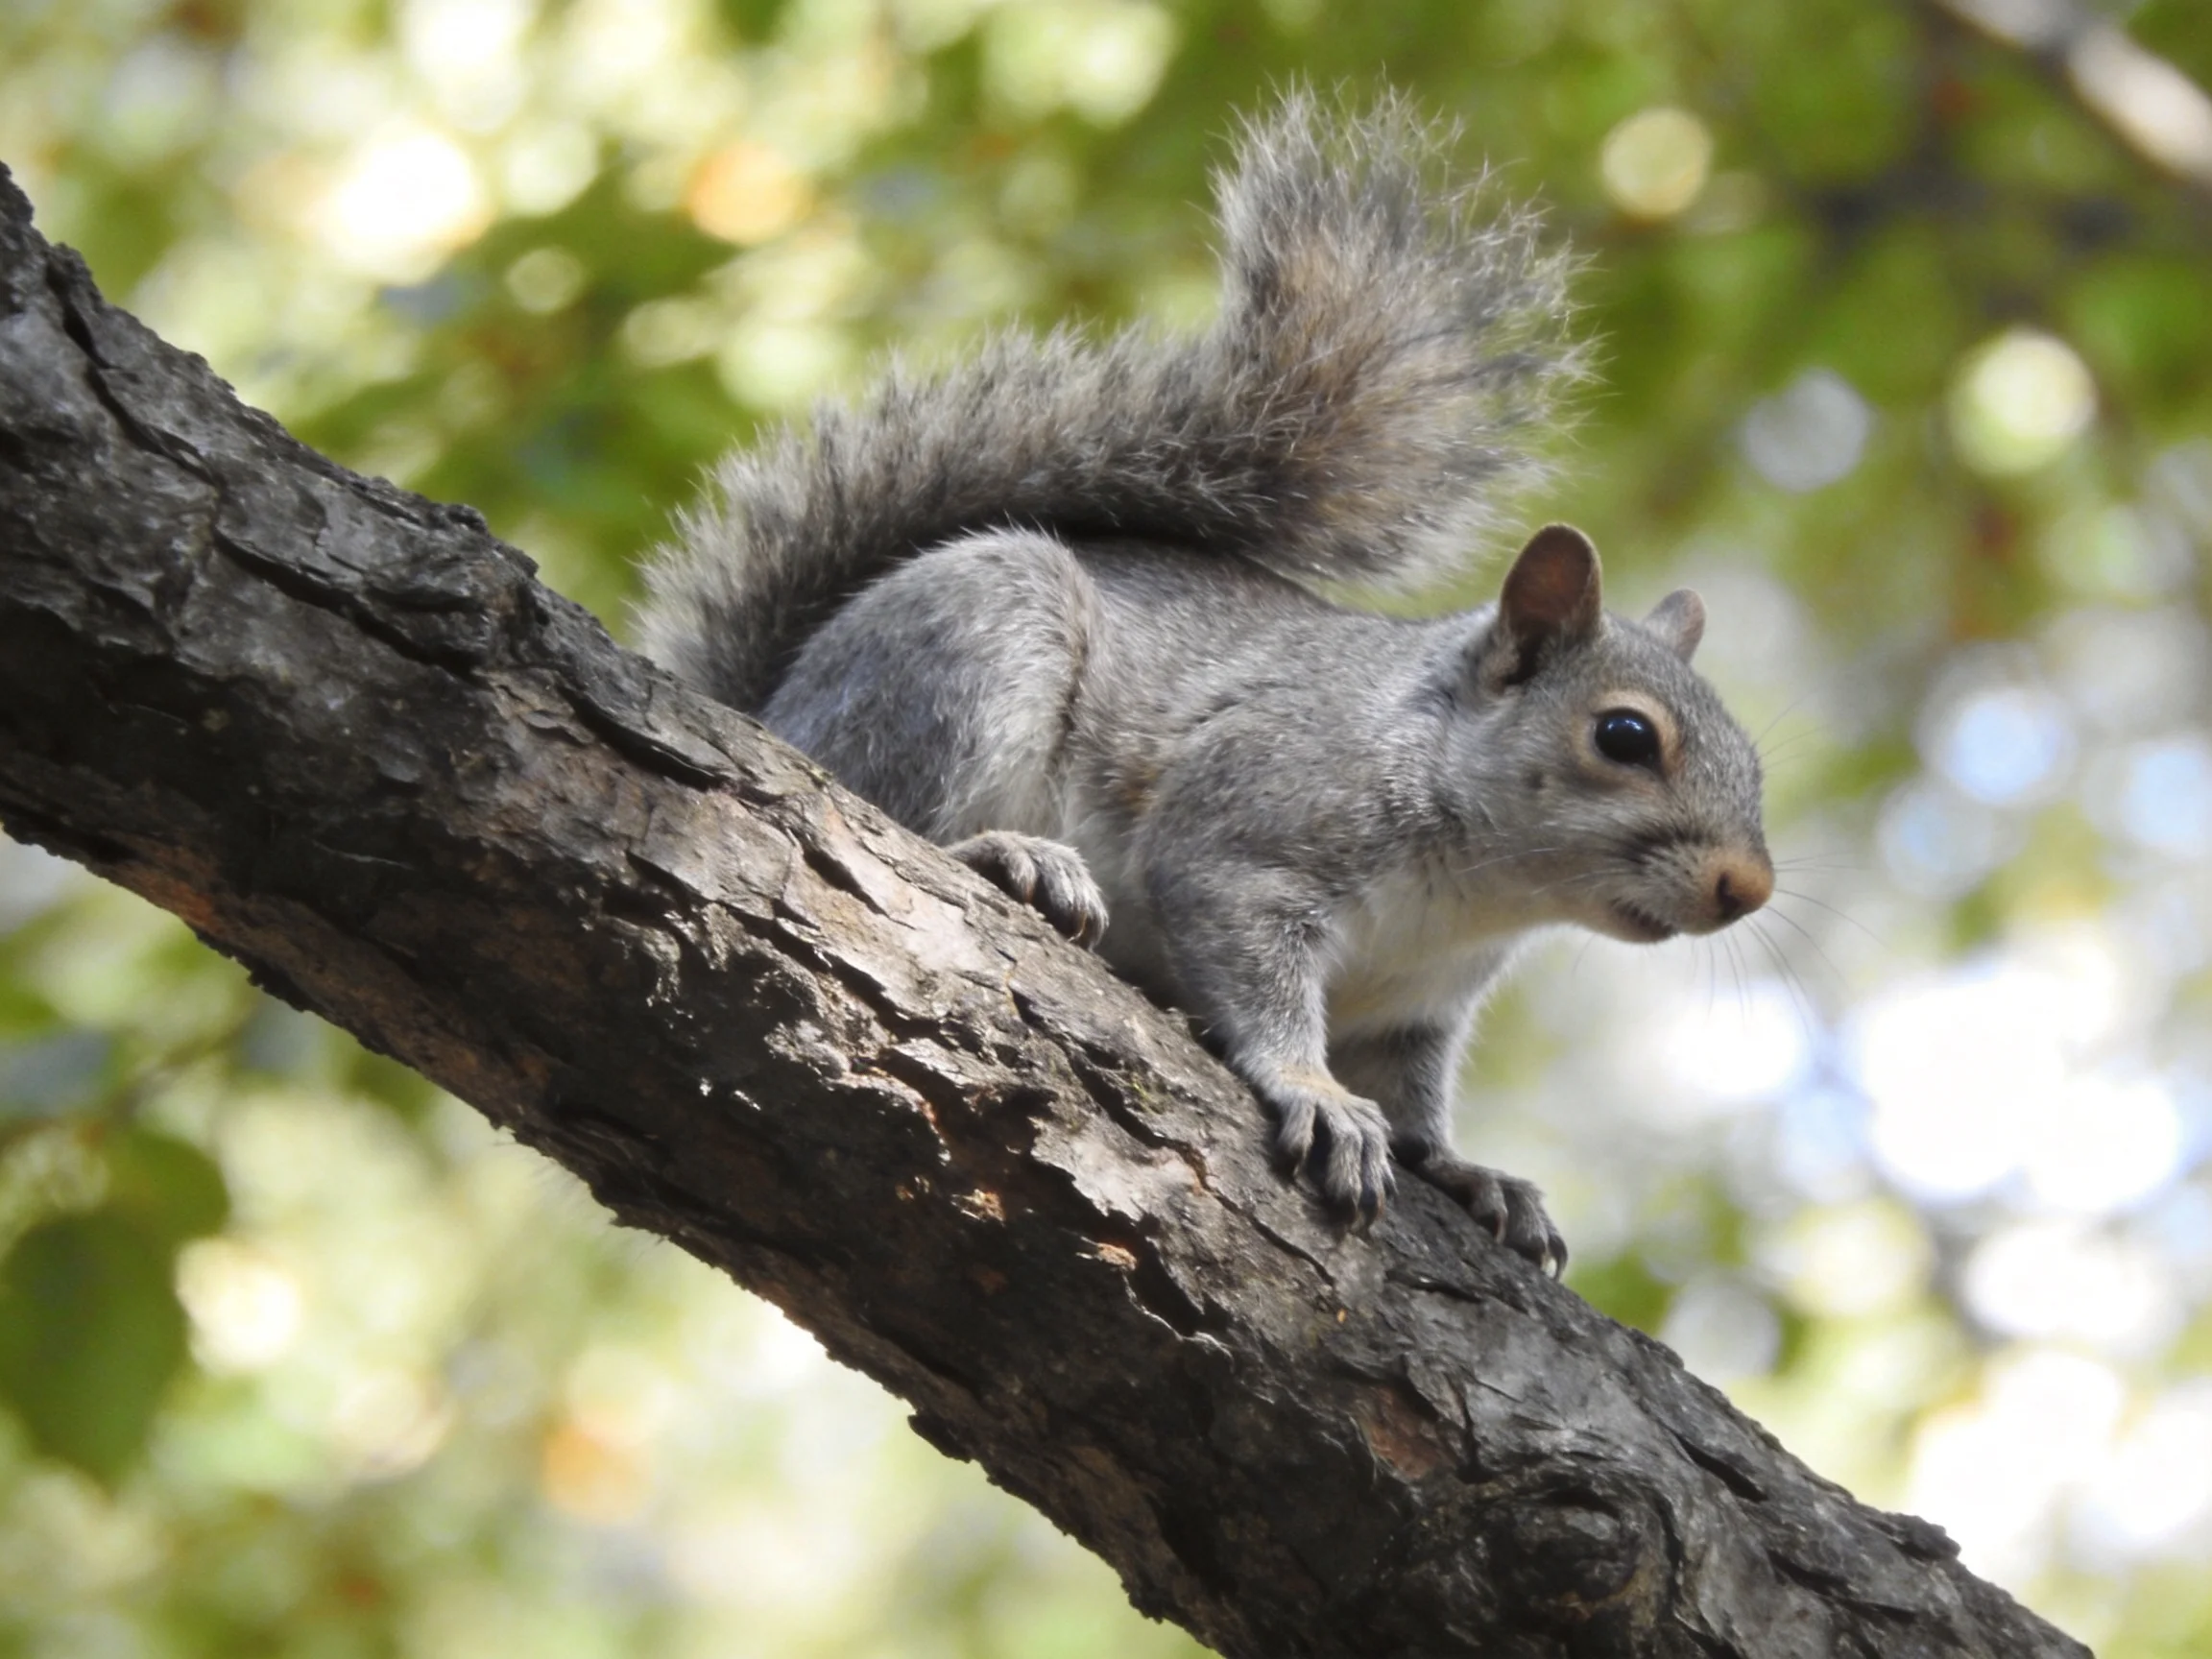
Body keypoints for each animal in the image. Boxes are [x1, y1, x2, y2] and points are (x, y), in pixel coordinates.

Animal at [635, 91, 1773, 1274]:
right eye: (1625, 737)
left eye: (1756, 763)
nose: (1749, 887)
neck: (1473, 893)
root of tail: (774, 706)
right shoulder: (1248, 834)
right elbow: (1251, 964)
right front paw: (1316, 1094)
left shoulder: (1413, 1014)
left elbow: (1416, 1107)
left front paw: (1471, 1175)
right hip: (972, 647)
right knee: (878, 806)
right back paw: (1008, 857)